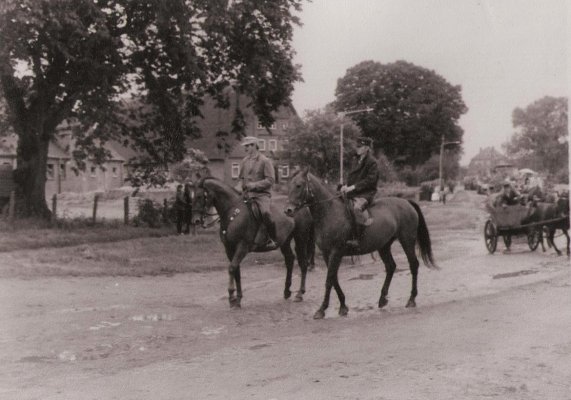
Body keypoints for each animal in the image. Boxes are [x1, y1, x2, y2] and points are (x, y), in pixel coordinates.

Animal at [192, 177, 318, 308]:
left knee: (303, 263)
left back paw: (300, 294)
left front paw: (231, 297)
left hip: (301, 239)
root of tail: (303, 206)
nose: (195, 220)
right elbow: (236, 271)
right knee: (289, 260)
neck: (233, 213)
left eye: (200, 196)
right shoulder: (229, 249)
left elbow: (232, 268)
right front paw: (238, 299)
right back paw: (287, 291)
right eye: (193, 196)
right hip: (285, 241)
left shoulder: (242, 247)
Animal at [284, 167, 438, 320]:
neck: (329, 212)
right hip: (384, 246)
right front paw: (343, 306)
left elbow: (329, 280)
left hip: (407, 240)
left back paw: (411, 299)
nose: (288, 210)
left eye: (299, 185)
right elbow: (334, 279)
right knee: (391, 267)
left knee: (413, 265)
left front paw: (321, 309)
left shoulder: (336, 252)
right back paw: (382, 299)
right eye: (289, 185)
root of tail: (407, 202)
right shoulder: (327, 254)